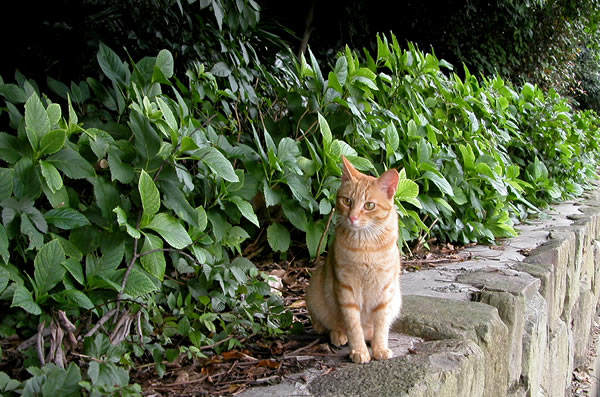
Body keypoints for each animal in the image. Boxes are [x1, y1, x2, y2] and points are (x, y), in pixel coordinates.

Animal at [308, 154, 400, 362]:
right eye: (347, 201)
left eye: (369, 205)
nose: (352, 217)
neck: (365, 246)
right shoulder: (346, 288)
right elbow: (353, 325)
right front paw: (358, 351)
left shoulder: (385, 290)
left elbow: (382, 324)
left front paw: (380, 348)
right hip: (315, 288)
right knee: (326, 324)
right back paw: (338, 335)